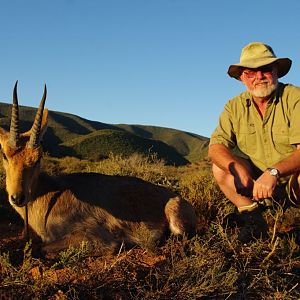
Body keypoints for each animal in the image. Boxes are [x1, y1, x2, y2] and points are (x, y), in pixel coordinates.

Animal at [0, 82, 197, 255]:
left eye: (38, 157)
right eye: (4, 155)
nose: (17, 198)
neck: (51, 193)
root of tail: (177, 198)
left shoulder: (95, 238)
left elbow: (40, 249)